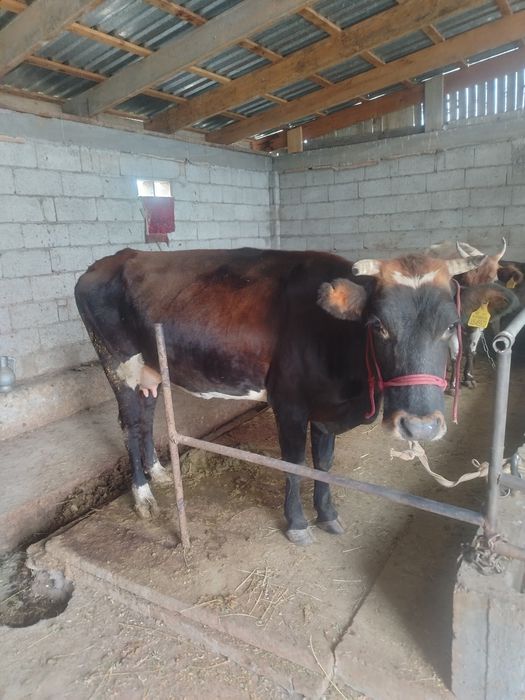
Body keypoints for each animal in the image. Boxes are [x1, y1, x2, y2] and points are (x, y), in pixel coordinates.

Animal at [75, 247, 488, 546]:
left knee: (147, 414)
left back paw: (159, 473)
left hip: (150, 369)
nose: (420, 427)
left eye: (451, 325)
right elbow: (295, 465)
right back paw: (143, 495)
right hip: (118, 365)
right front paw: (298, 524)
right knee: (130, 424)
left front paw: (327, 515)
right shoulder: (289, 405)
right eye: (377, 325)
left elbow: (324, 464)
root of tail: (113, 258)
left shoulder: (326, 410)